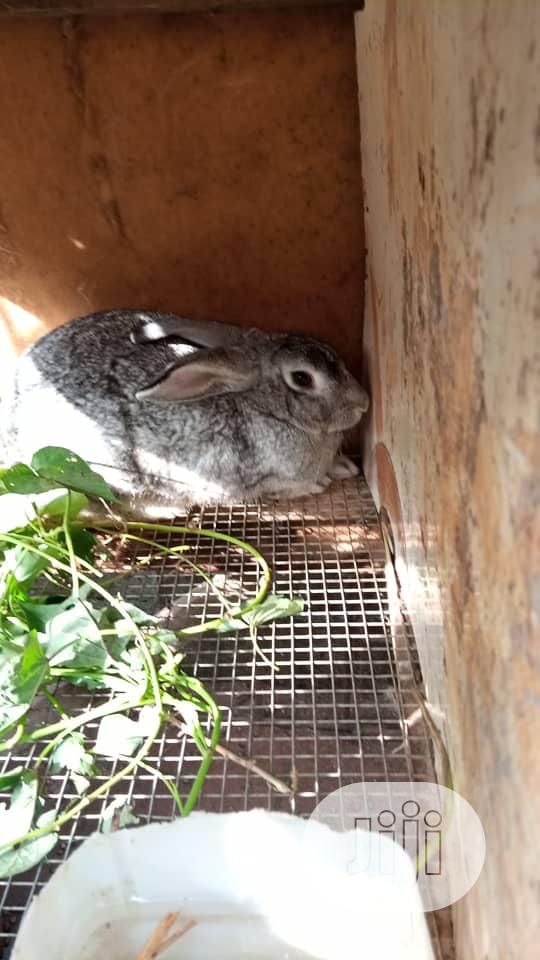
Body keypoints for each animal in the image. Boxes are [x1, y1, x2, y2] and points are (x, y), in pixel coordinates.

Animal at [4, 310, 369, 518]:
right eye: (302, 378)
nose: (364, 402)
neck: (265, 408)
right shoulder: (251, 479)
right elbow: (279, 489)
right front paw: (318, 484)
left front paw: (343, 467)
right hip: (96, 476)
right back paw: (166, 512)